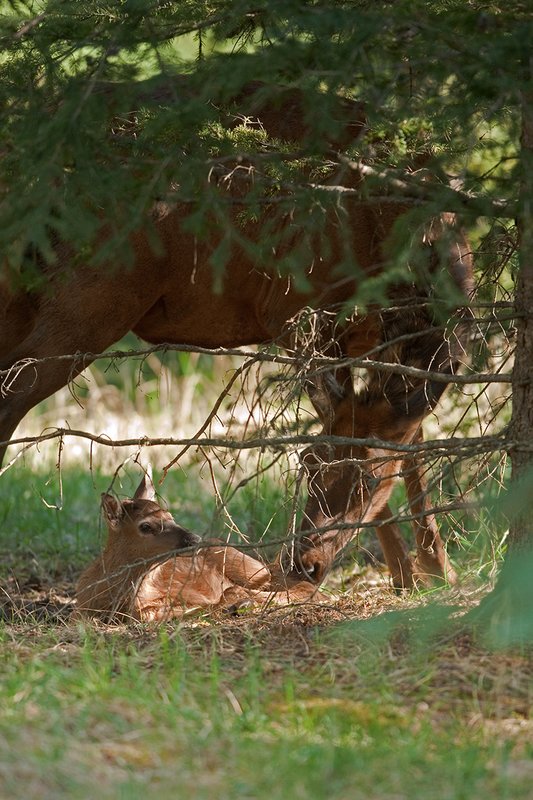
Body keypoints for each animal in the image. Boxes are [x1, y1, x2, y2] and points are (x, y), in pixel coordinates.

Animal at [0, 81, 474, 592]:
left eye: (368, 479)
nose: (304, 564)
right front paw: (412, 572)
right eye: (309, 464)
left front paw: (431, 569)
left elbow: (412, 443)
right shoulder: (293, 311)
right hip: (93, 297)